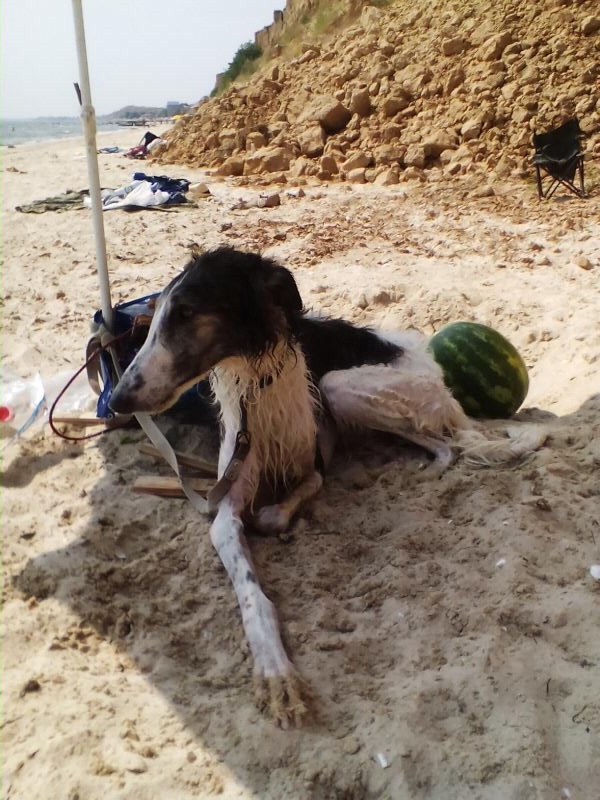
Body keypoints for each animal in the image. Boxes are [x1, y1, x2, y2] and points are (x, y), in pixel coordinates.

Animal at [110, 247, 542, 725]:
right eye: (155, 316)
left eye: (187, 313)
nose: (117, 401)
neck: (259, 381)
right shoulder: (225, 505)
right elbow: (251, 593)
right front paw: (275, 670)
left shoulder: (316, 456)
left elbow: (289, 500)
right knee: (446, 444)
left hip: (343, 387)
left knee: (450, 443)